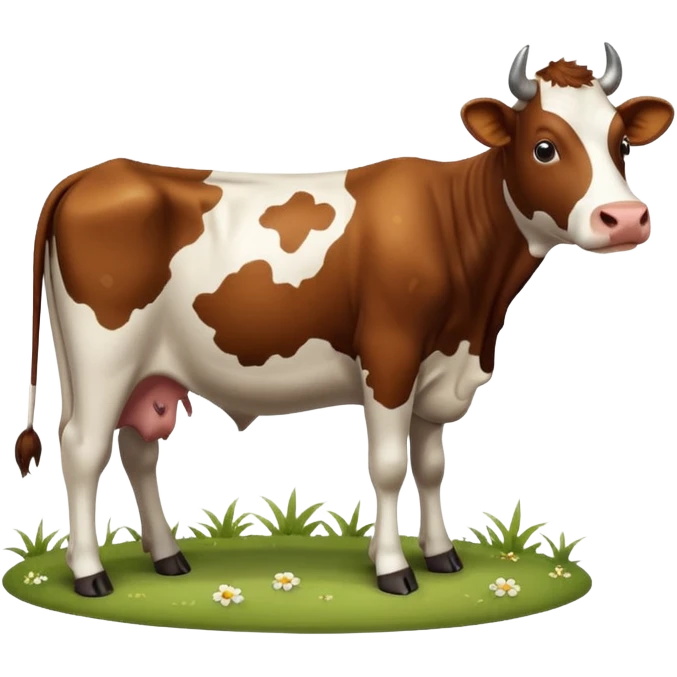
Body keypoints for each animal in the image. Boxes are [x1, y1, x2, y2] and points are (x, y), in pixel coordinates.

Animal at [15, 42, 673, 599]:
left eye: (621, 144)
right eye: (544, 146)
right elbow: (387, 467)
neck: (477, 315)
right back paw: (90, 574)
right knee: (83, 450)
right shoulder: (390, 356)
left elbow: (431, 467)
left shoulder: (439, 366)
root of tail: (93, 173)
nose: (626, 218)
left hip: (146, 372)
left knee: (138, 450)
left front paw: (442, 556)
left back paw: (168, 558)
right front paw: (393, 571)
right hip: (102, 358)